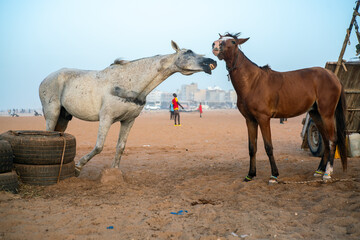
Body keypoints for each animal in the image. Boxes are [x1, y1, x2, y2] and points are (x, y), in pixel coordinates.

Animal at [39, 41, 217, 176]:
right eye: (188, 52)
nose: (212, 62)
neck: (130, 83)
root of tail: (45, 79)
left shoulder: (128, 120)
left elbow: (121, 147)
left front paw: (114, 172)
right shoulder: (106, 118)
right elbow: (99, 146)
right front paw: (78, 166)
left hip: (64, 117)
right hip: (52, 113)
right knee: (49, 133)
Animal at [212, 32, 348, 183]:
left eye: (233, 42)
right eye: (220, 39)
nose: (215, 45)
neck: (252, 82)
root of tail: (333, 76)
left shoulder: (263, 119)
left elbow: (268, 147)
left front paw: (274, 175)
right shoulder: (250, 120)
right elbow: (252, 148)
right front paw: (250, 174)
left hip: (327, 114)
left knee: (332, 140)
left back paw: (327, 173)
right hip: (316, 114)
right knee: (325, 139)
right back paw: (319, 170)